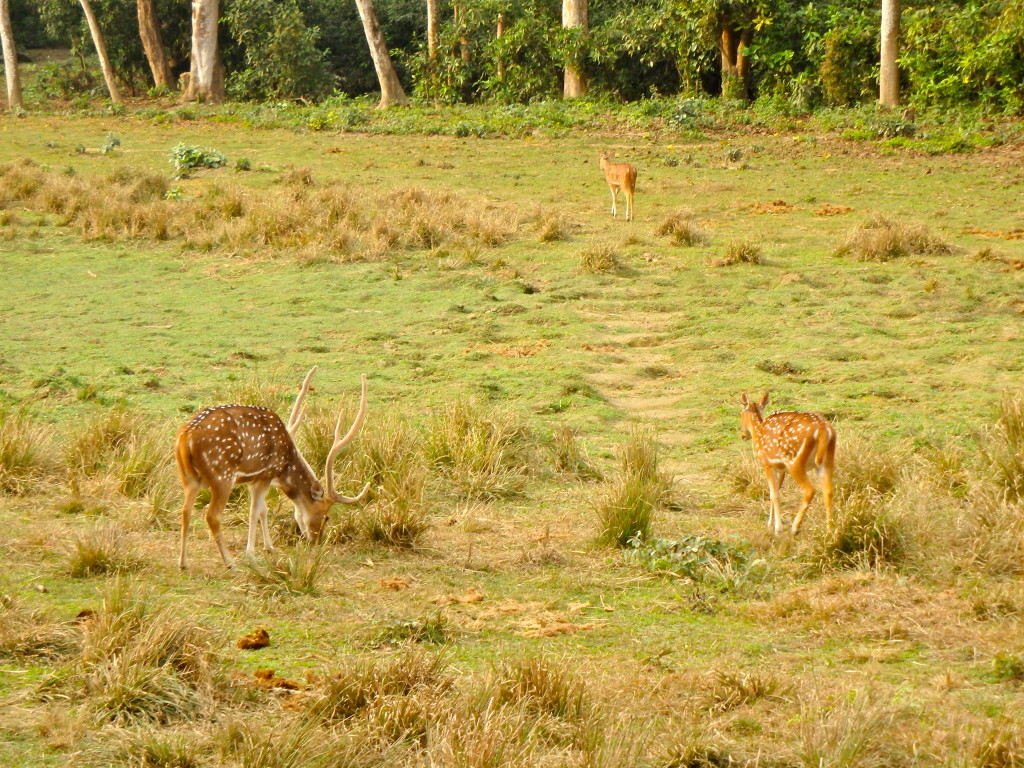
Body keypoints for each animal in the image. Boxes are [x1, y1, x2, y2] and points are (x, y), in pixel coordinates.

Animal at [175, 367, 369, 570]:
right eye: (326, 517)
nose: (316, 541)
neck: (285, 466)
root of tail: (186, 437)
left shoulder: (254, 480)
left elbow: (263, 509)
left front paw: (270, 547)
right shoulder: (265, 474)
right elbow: (254, 511)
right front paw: (251, 554)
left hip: (188, 478)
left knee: (185, 511)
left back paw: (183, 562)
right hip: (222, 476)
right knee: (212, 516)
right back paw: (229, 562)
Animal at [739, 392, 836, 536]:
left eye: (740, 413)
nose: (743, 435)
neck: (757, 431)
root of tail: (823, 430)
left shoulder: (767, 464)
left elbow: (774, 495)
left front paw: (777, 528)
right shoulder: (781, 469)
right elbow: (775, 492)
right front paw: (770, 524)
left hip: (794, 462)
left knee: (810, 490)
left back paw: (795, 527)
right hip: (827, 460)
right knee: (828, 491)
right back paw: (830, 530)